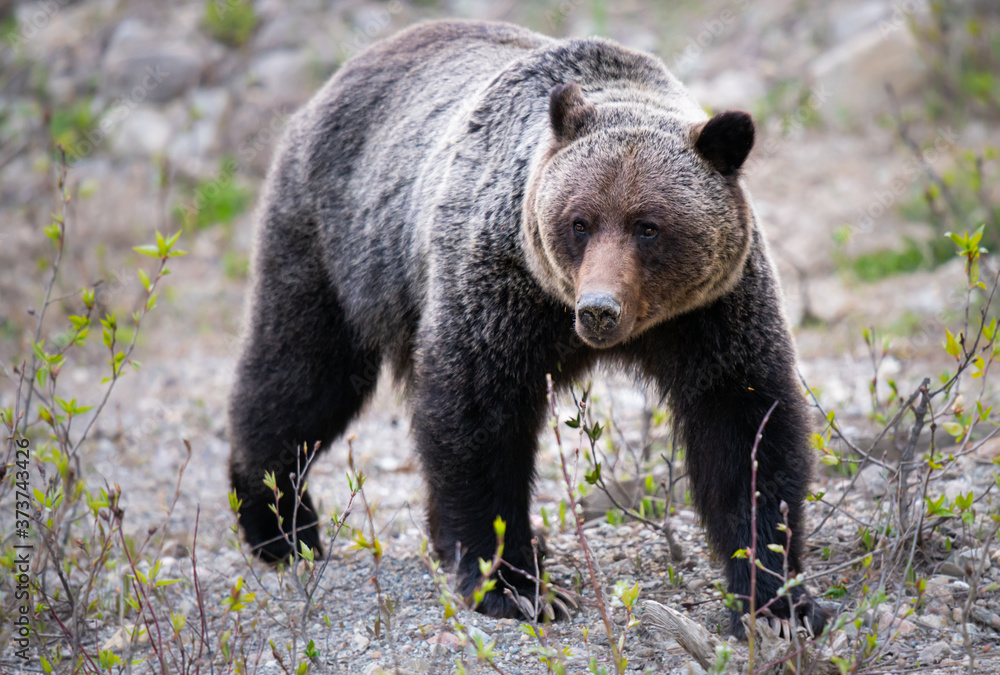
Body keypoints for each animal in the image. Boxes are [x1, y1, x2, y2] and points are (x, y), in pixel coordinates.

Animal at [229, 18, 828, 636]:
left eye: (649, 226)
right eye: (579, 221)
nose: (599, 308)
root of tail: (340, 77)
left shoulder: (713, 313)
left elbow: (744, 430)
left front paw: (777, 601)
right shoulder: (501, 289)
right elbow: (477, 421)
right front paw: (519, 587)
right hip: (335, 245)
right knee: (301, 375)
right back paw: (279, 526)